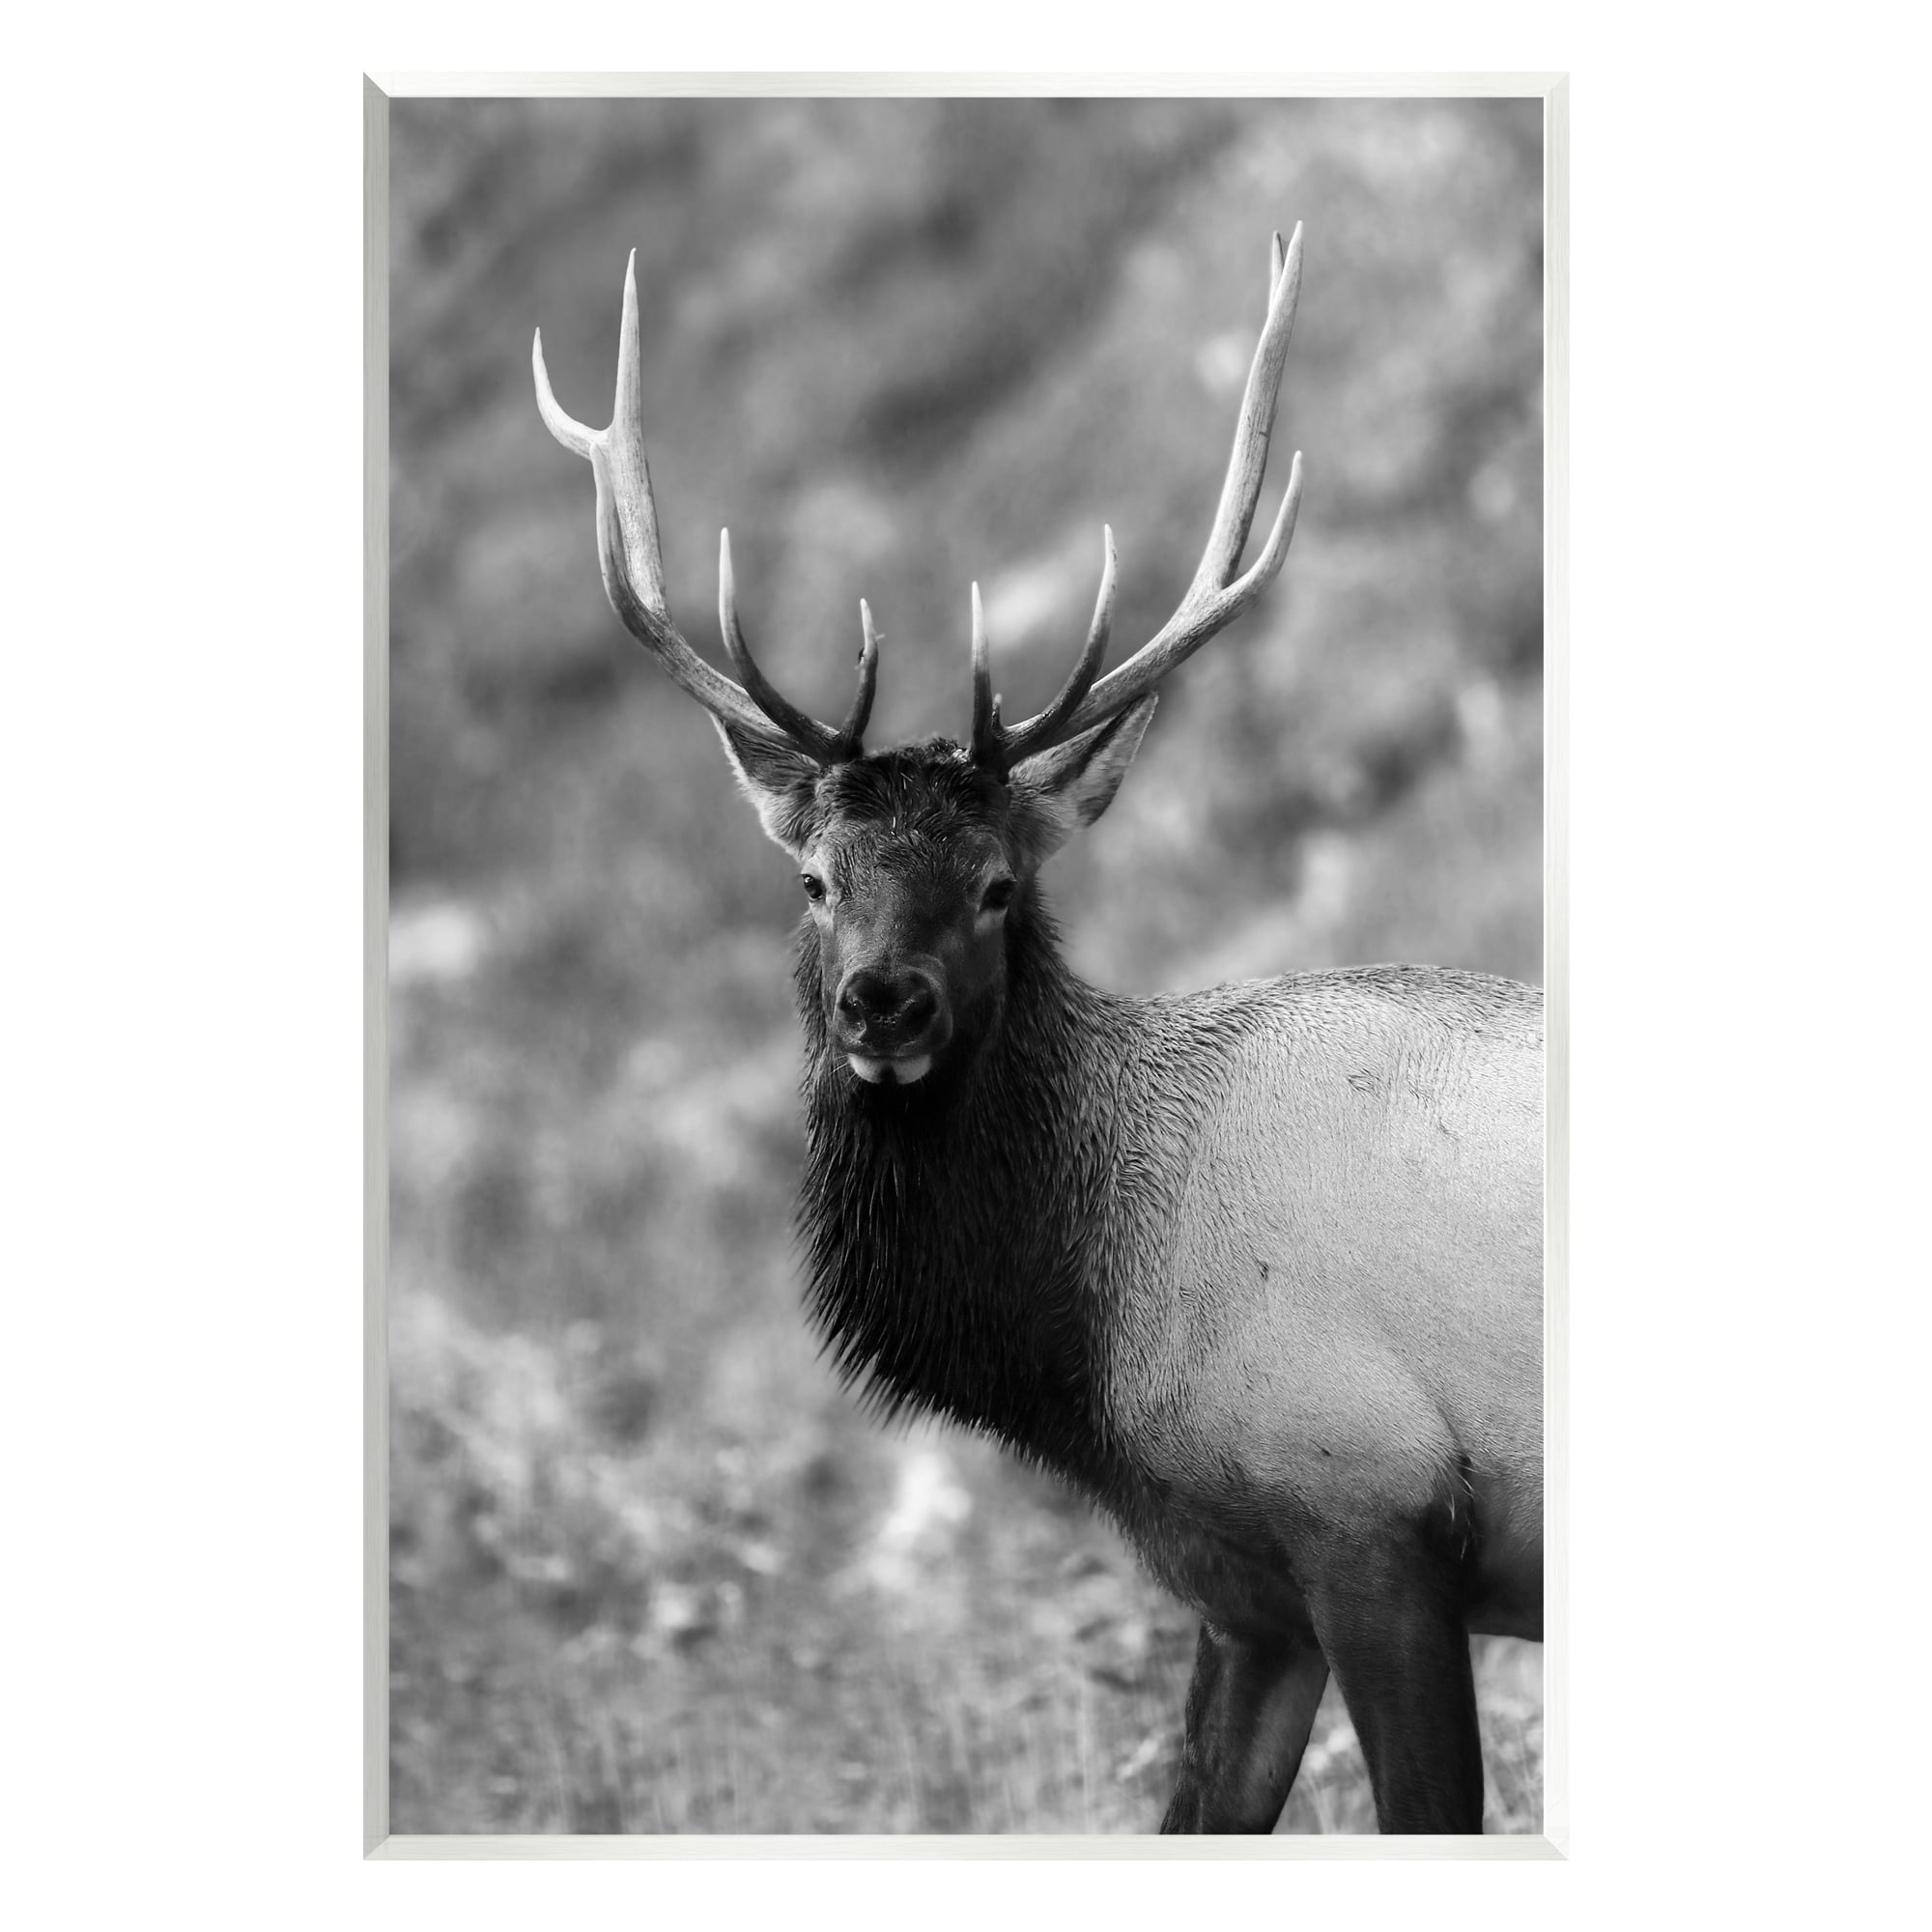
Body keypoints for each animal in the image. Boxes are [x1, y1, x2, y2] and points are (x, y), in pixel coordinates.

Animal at [532, 226, 1543, 1836]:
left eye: (1002, 883)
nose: (885, 1002)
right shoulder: (1240, 1593)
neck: (1088, 1346)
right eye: (817, 881)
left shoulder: (1372, 1513)